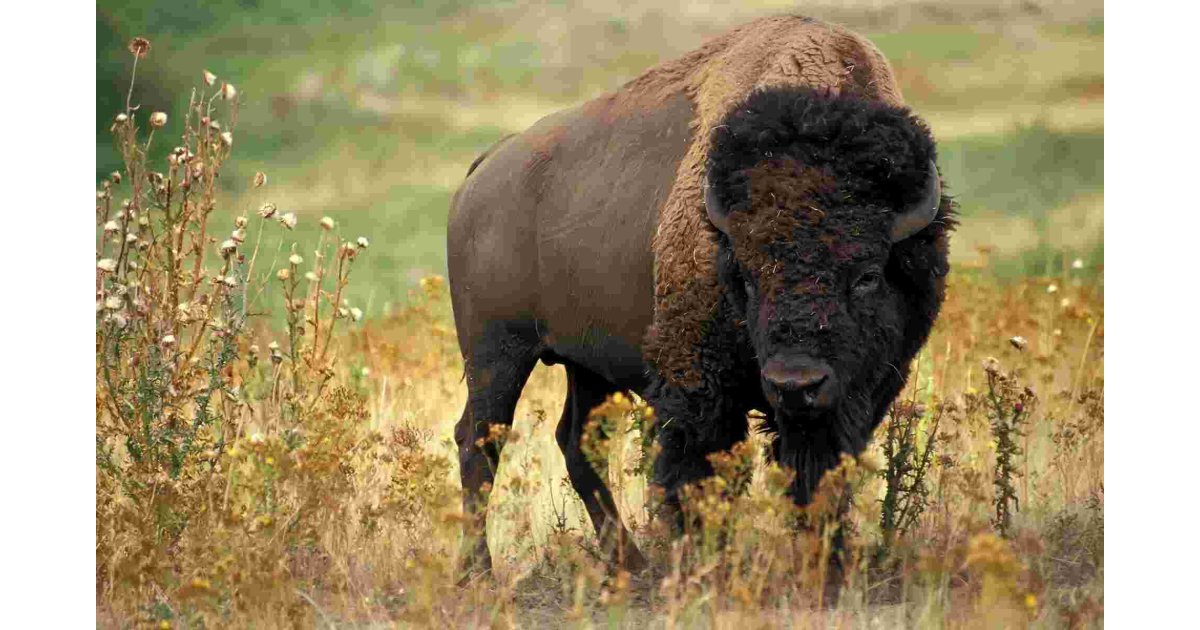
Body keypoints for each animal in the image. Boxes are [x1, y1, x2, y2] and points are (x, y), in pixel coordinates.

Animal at [446, 15, 953, 574]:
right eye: (746, 276)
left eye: (867, 275)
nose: (795, 383)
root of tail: (487, 167)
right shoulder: (698, 389)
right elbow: (697, 477)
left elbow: (818, 477)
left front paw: (827, 566)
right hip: (497, 352)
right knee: (479, 441)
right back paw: (480, 572)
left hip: (587, 364)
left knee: (575, 442)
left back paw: (631, 564)